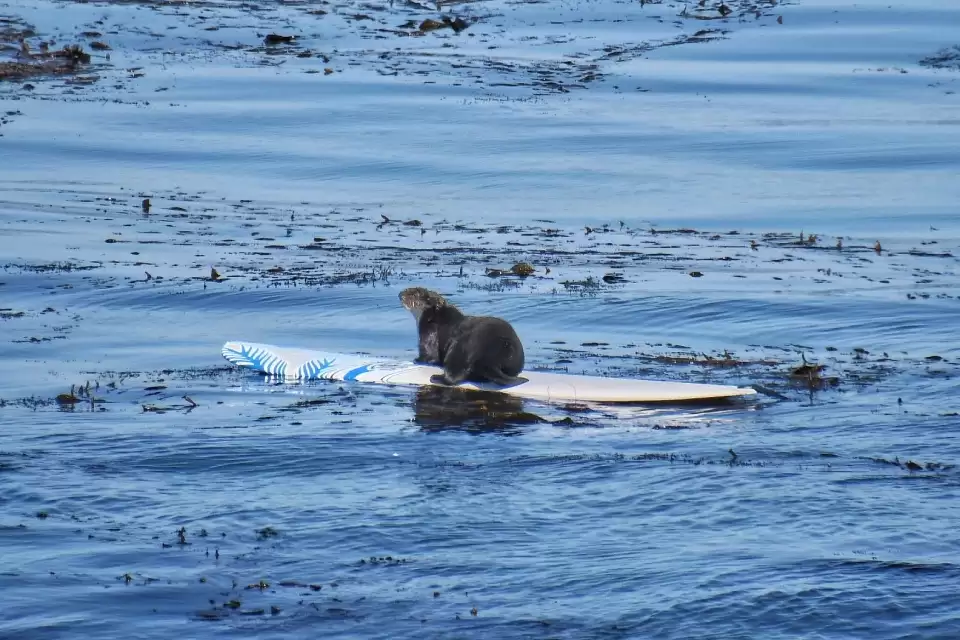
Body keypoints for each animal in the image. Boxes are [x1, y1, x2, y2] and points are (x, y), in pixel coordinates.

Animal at [396, 288, 524, 388]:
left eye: (414, 293)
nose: (400, 293)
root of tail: (491, 358)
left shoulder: (428, 332)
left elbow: (429, 355)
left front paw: (417, 359)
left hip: (460, 348)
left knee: (453, 376)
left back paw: (436, 377)